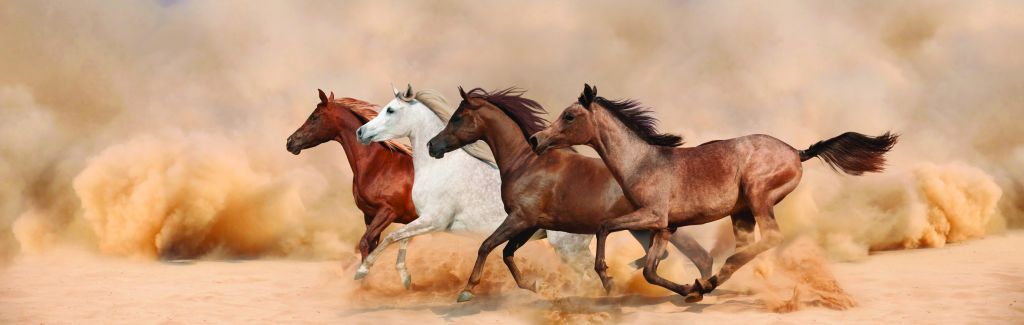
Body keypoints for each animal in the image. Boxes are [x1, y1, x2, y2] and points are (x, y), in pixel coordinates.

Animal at [284, 88, 415, 276]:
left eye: (314, 117)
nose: (290, 142)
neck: (379, 165)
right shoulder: (369, 215)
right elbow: (370, 247)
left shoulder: (387, 212)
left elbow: (365, 243)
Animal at [352, 84, 598, 287]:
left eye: (391, 110)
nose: (361, 132)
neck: (439, 167)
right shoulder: (421, 219)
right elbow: (401, 238)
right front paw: (401, 276)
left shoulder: (433, 221)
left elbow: (392, 237)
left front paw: (362, 270)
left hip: (568, 247)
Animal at [423, 86, 712, 301]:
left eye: (457, 117)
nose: (431, 145)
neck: (525, 162)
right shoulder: (530, 224)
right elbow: (507, 253)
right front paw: (533, 286)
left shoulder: (520, 219)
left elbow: (486, 245)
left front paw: (467, 291)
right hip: (640, 228)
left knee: (697, 256)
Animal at [528, 83, 897, 301]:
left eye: (570, 115)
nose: (535, 140)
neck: (642, 162)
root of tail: (797, 152)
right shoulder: (666, 227)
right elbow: (650, 270)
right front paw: (691, 290)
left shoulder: (652, 216)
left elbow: (604, 227)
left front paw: (606, 278)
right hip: (742, 212)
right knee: (748, 246)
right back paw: (711, 281)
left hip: (758, 196)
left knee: (770, 237)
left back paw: (716, 277)